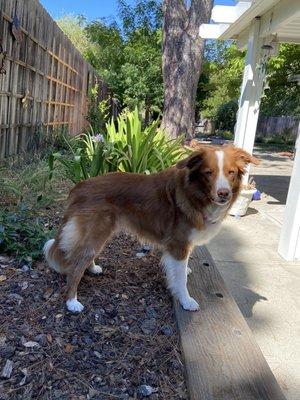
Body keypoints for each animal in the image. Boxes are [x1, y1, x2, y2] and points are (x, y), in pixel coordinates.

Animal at [43, 145, 258, 314]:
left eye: (231, 172)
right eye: (208, 172)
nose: (224, 194)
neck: (195, 194)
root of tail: (80, 186)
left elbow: (180, 269)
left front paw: (186, 271)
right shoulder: (178, 244)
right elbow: (180, 279)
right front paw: (186, 300)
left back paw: (92, 268)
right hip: (96, 232)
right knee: (75, 266)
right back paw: (72, 302)